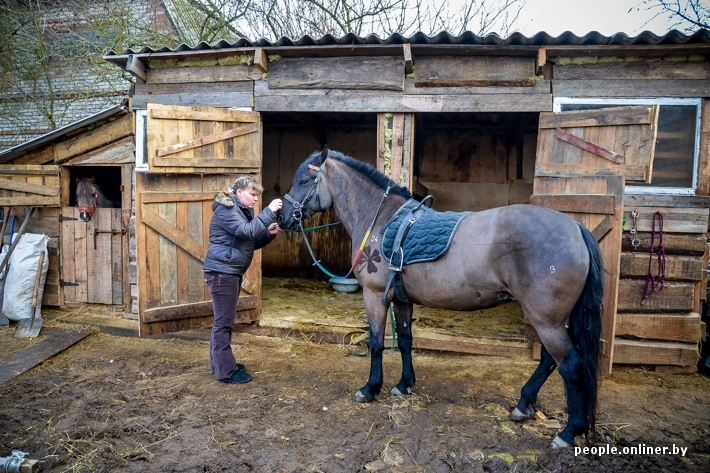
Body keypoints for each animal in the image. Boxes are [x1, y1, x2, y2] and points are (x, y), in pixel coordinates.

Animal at [280, 148, 608, 450]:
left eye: (305, 180)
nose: (282, 217)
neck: (382, 220)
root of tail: (575, 228)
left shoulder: (375, 297)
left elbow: (376, 343)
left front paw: (371, 389)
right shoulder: (402, 299)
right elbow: (405, 341)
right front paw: (404, 384)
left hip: (546, 320)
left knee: (569, 365)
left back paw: (568, 432)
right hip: (551, 319)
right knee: (550, 361)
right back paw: (523, 405)